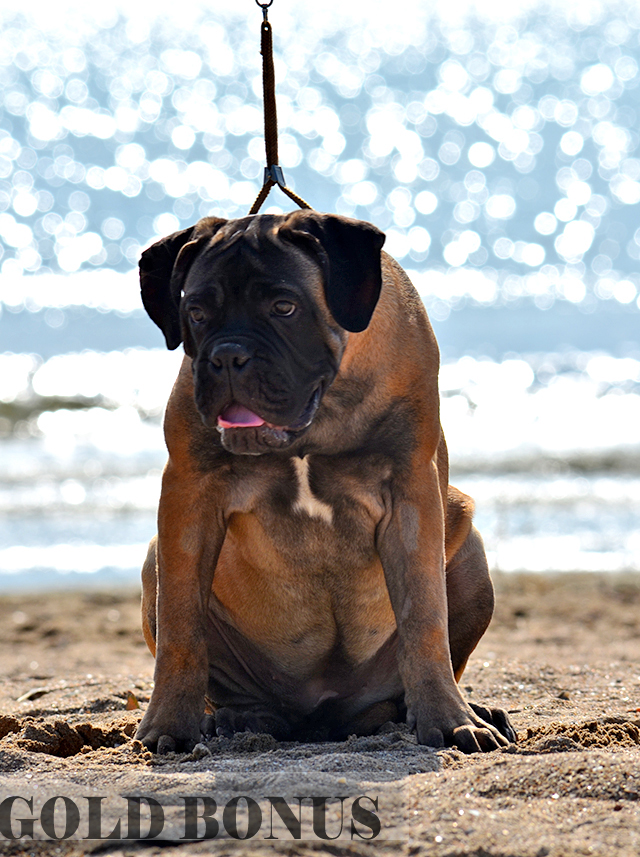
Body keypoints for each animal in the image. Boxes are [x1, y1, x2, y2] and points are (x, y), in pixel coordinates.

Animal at [134, 211, 516, 752]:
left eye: (284, 307)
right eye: (198, 312)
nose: (228, 356)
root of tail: (319, 717)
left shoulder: (412, 498)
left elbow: (425, 618)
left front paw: (449, 719)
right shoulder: (189, 497)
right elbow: (181, 628)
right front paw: (168, 724)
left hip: (469, 547)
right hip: (155, 559)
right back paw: (233, 720)